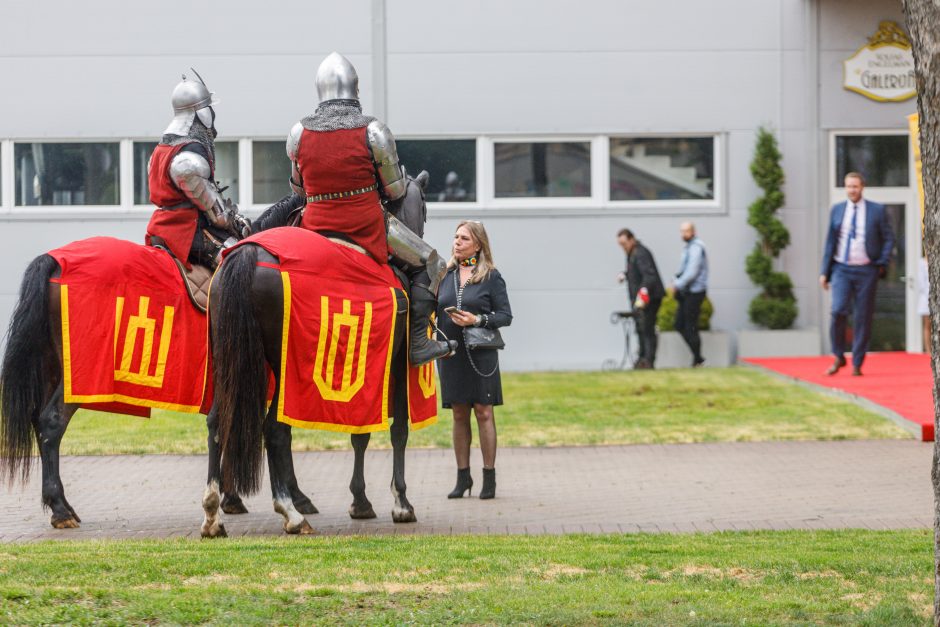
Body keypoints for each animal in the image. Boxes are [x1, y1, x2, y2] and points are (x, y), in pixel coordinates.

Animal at [204, 174, 432, 536]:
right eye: (424, 207)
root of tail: (249, 255)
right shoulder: (394, 363)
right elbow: (396, 431)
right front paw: (400, 504)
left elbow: (361, 433)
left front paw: (361, 501)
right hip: (285, 368)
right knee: (274, 430)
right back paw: (291, 513)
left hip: (233, 364)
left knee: (218, 421)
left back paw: (214, 514)